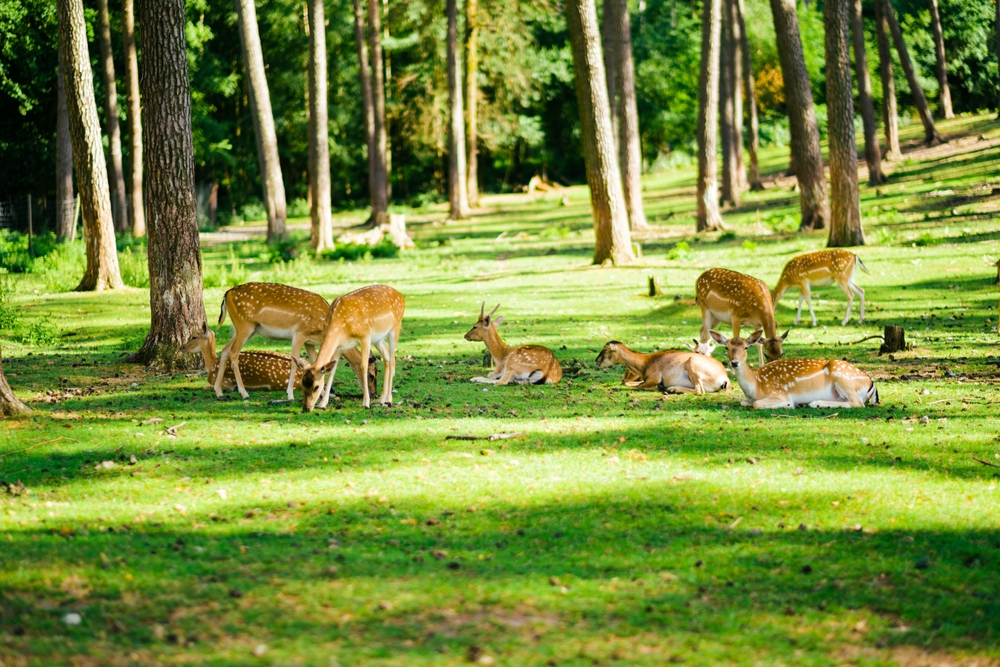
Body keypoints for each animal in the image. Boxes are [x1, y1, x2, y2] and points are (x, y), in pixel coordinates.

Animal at [216, 282, 373, 402]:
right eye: (372, 375)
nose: (374, 394)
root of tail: (226, 294)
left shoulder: (309, 342)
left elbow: (315, 363)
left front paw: (320, 393)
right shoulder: (299, 333)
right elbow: (294, 362)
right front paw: (290, 395)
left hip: (245, 329)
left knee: (224, 349)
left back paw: (219, 392)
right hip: (244, 325)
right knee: (233, 352)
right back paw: (244, 393)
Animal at [595, 341, 729, 394]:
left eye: (605, 349)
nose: (596, 360)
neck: (646, 361)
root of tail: (725, 378)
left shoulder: (653, 379)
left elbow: (637, 386)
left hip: (692, 365)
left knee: (699, 390)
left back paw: (672, 389)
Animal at [709, 329, 879, 409]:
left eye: (746, 347)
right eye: (726, 347)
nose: (734, 363)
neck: (755, 385)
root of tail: (871, 383)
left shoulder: (779, 393)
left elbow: (757, 404)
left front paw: (791, 405)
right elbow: (744, 402)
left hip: (844, 379)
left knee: (857, 403)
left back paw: (813, 403)